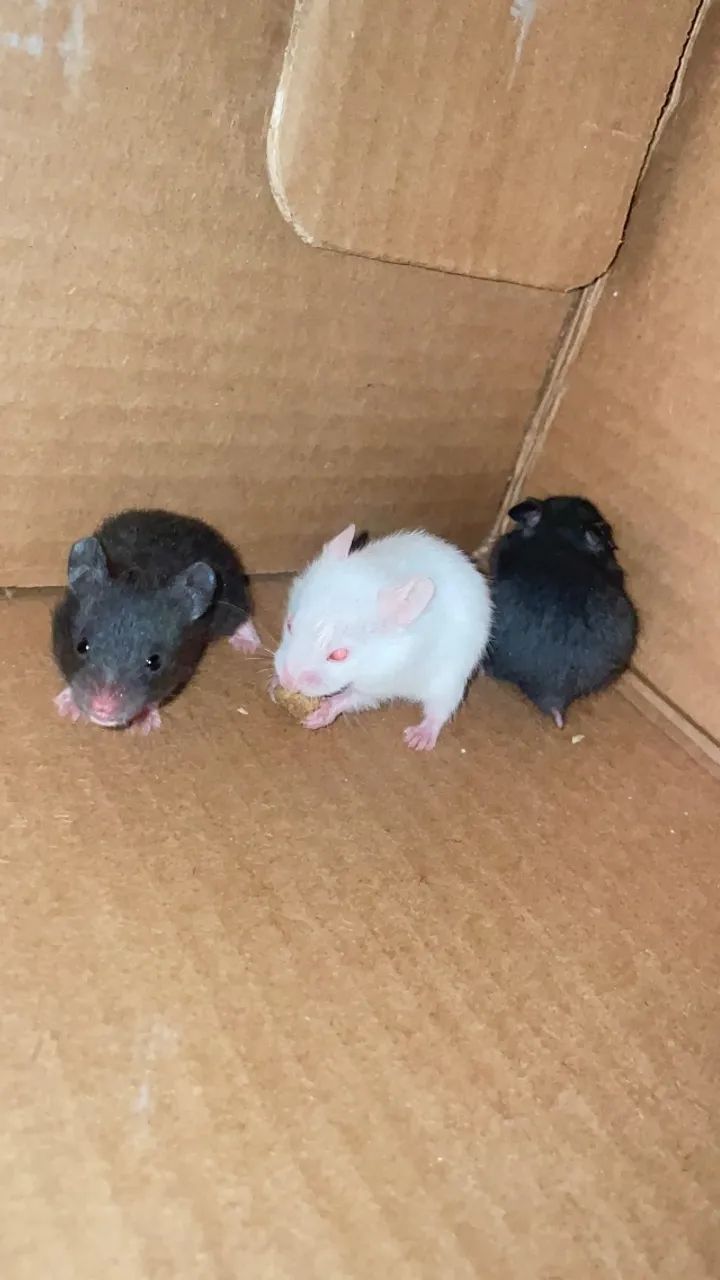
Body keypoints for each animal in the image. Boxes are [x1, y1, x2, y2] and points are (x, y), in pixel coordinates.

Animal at [52, 508, 260, 733]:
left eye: (155, 662)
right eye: (81, 646)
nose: (103, 708)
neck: (143, 573)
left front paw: (143, 726)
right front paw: (66, 708)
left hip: (231, 595)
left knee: (243, 614)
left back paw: (248, 645)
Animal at [272, 524, 492, 750]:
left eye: (339, 655)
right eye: (289, 625)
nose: (287, 683)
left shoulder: (381, 683)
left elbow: (352, 696)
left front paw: (320, 714)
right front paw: (274, 685)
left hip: (451, 678)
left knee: (440, 710)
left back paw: (418, 739)